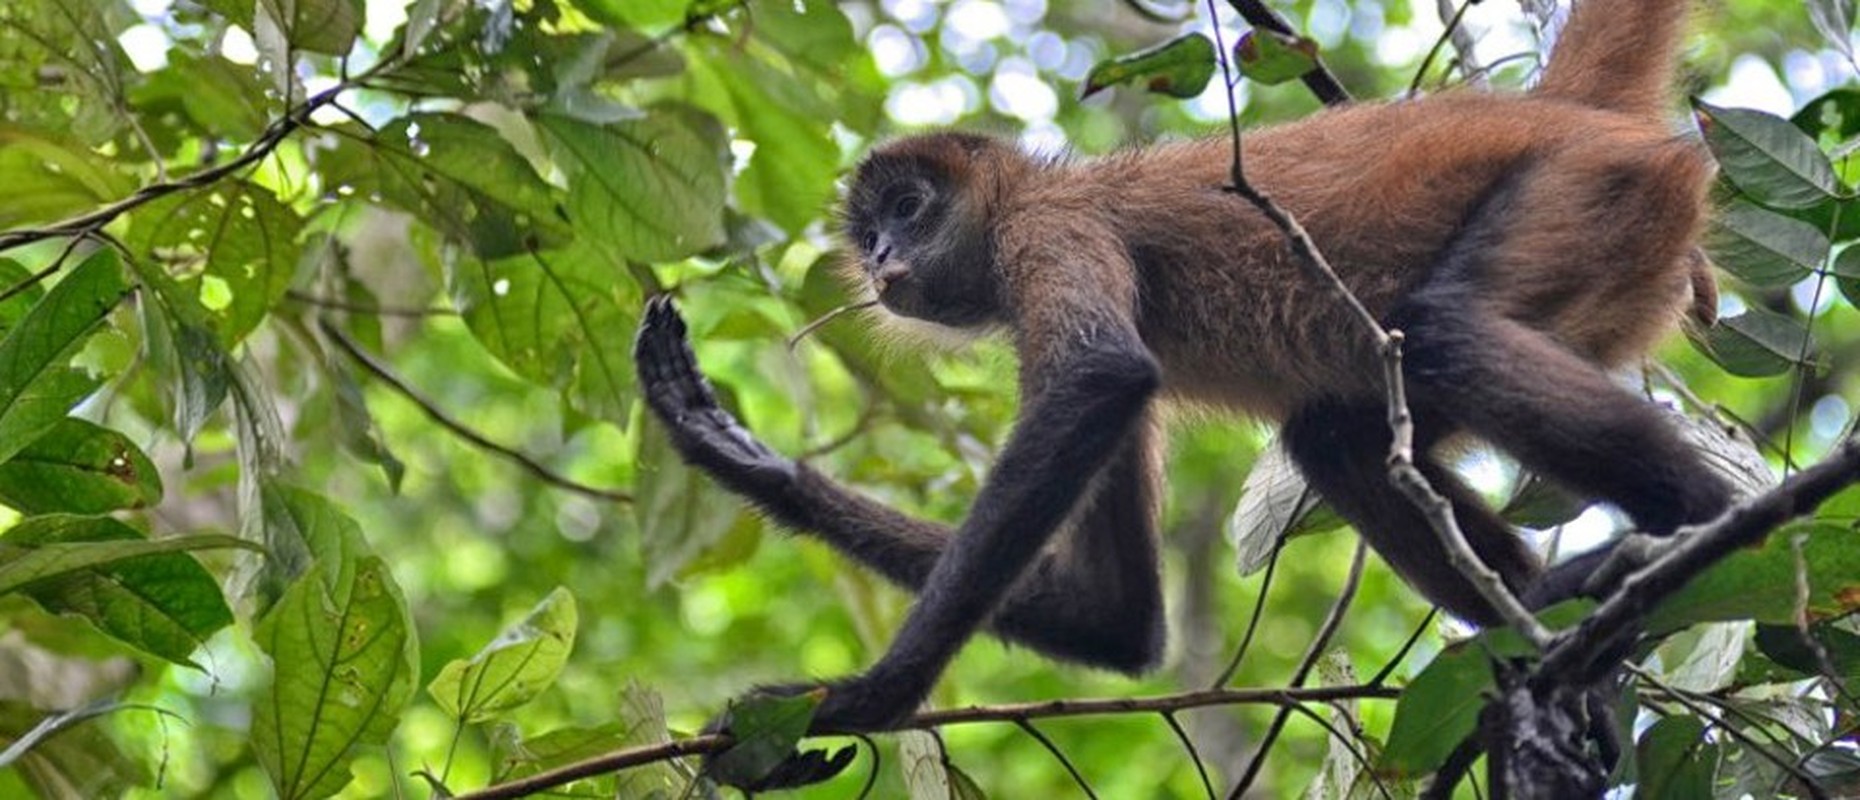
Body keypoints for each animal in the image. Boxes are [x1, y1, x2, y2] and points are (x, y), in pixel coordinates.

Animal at [636, 0, 1726, 755]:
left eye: (909, 208)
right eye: (868, 233)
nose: (884, 261)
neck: (1037, 191)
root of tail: (1559, 110)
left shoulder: (1051, 230)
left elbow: (1100, 379)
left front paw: (865, 699)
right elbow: (1118, 621)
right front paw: (738, 455)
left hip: (1585, 192)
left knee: (1444, 334)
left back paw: (1694, 526)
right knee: (1336, 438)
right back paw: (1559, 642)